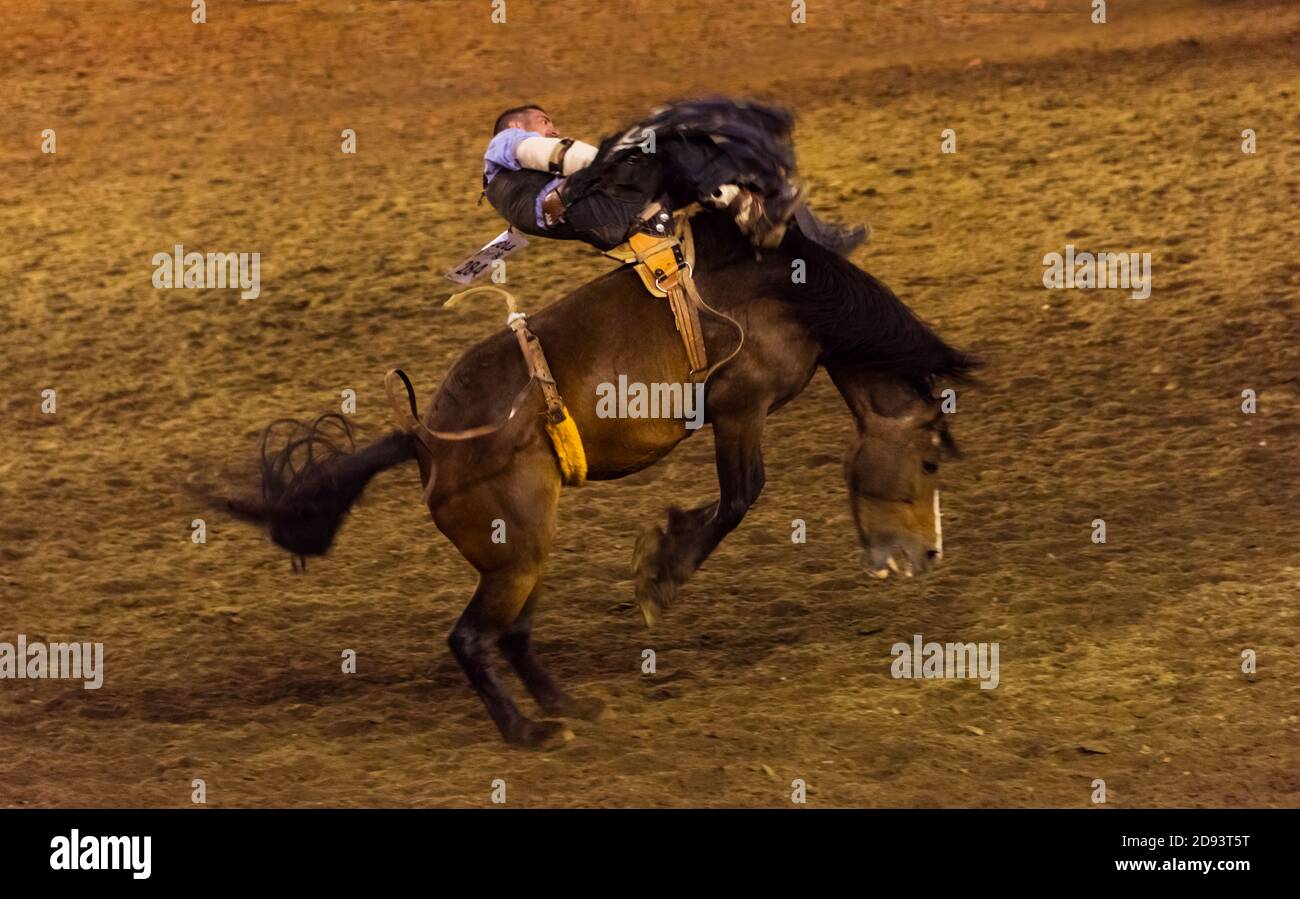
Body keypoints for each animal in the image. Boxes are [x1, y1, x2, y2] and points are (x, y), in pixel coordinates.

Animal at [239, 210, 977, 743]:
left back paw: (569, 706)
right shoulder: (739, 406)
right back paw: (530, 731)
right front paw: (660, 569)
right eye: (930, 461)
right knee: (471, 638)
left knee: (512, 634)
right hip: (515, 555)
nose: (929, 555)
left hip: (524, 550)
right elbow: (742, 494)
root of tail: (425, 440)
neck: (789, 296)